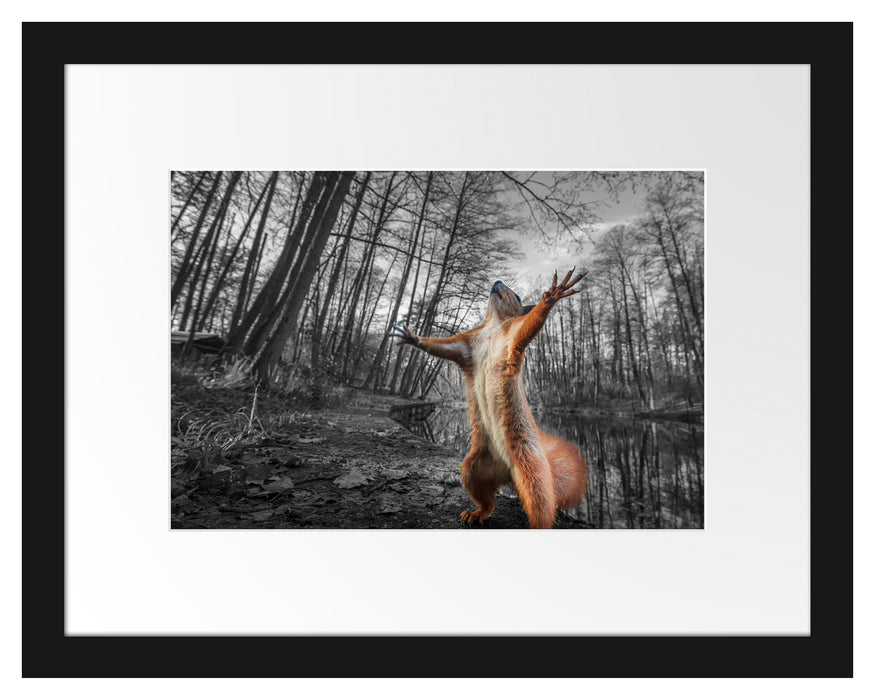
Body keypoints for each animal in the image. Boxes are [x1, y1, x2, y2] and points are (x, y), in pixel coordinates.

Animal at [390, 268, 590, 529]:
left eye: (517, 295)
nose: (497, 281)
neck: (494, 325)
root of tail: (509, 474)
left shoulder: (514, 334)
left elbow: (530, 325)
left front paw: (551, 296)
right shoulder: (466, 346)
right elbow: (441, 346)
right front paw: (412, 337)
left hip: (533, 473)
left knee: (541, 506)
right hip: (473, 468)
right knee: (487, 500)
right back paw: (476, 514)